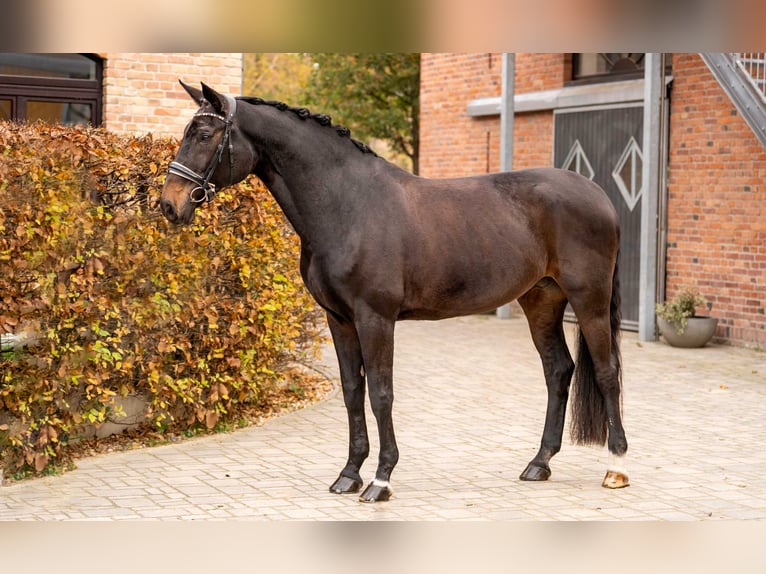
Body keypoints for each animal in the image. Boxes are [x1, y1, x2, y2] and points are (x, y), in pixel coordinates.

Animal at [160, 81, 632, 504]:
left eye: (204, 134)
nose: (169, 204)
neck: (349, 205)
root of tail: (597, 194)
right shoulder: (339, 319)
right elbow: (353, 391)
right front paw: (349, 475)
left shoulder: (376, 318)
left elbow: (381, 394)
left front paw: (381, 480)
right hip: (541, 300)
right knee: (558, 370)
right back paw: (539, 463)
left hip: (588, 301)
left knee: (606, 372)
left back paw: (617, 467)